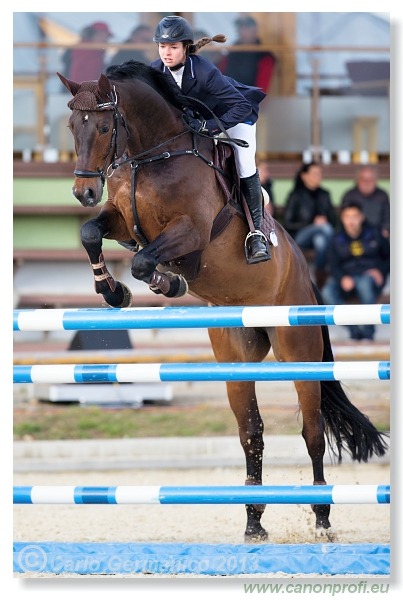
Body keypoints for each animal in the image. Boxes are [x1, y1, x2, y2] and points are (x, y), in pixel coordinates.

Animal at [57, 63, 388, 540]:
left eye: (103, 127)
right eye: (71, 126)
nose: (83, 193)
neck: (150, 157)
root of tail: (305, 276)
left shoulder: (190, 233)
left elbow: (144, 259)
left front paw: (166, 283)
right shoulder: (121, 219)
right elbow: (91, 233)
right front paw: (113, 291)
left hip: (298, 350)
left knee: (312, 431)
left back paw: (322, 518)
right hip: (236, 356)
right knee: (252, 432)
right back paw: (253, 522)